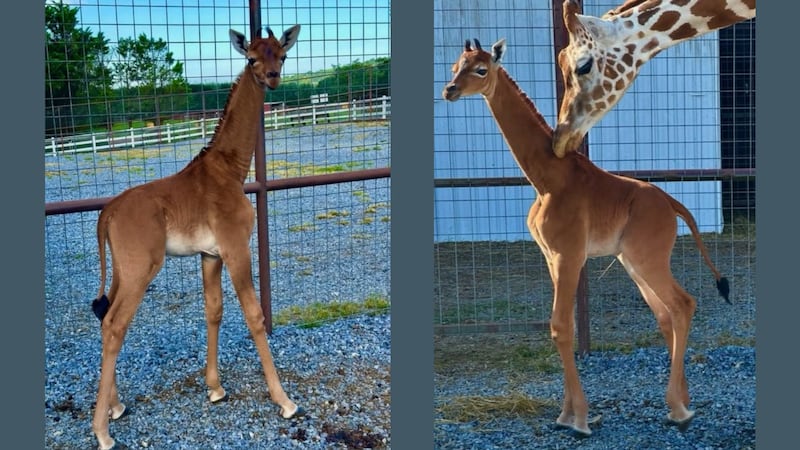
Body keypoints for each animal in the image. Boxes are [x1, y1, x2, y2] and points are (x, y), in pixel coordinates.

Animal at [89, 25, 301, 450]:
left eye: (282, 55)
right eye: (252, 57)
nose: (272, 78)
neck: (231, 170)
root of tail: (107, 213)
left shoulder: (210, 254)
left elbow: (213, 310)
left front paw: (215, 388)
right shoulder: (236, 248)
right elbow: (254, 315)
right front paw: (284, 400)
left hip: (121, 269)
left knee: (105, 318)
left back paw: (115, 407)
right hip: (141, 268)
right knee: (115, 324)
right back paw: (102, 431)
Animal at [442, 37, 729, 437]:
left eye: (481, 69)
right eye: (455, 66)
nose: (449, 90)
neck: (546, 179)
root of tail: (673, 204)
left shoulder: (569, 255)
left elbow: (561, 326)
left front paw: (578, 419)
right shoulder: (551, 257)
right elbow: (567, 327)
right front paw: (566, 414)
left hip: (648, 258)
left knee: (683, 304)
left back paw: (678, 409)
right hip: (632, 262)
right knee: (666, 313)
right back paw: (683, 402)